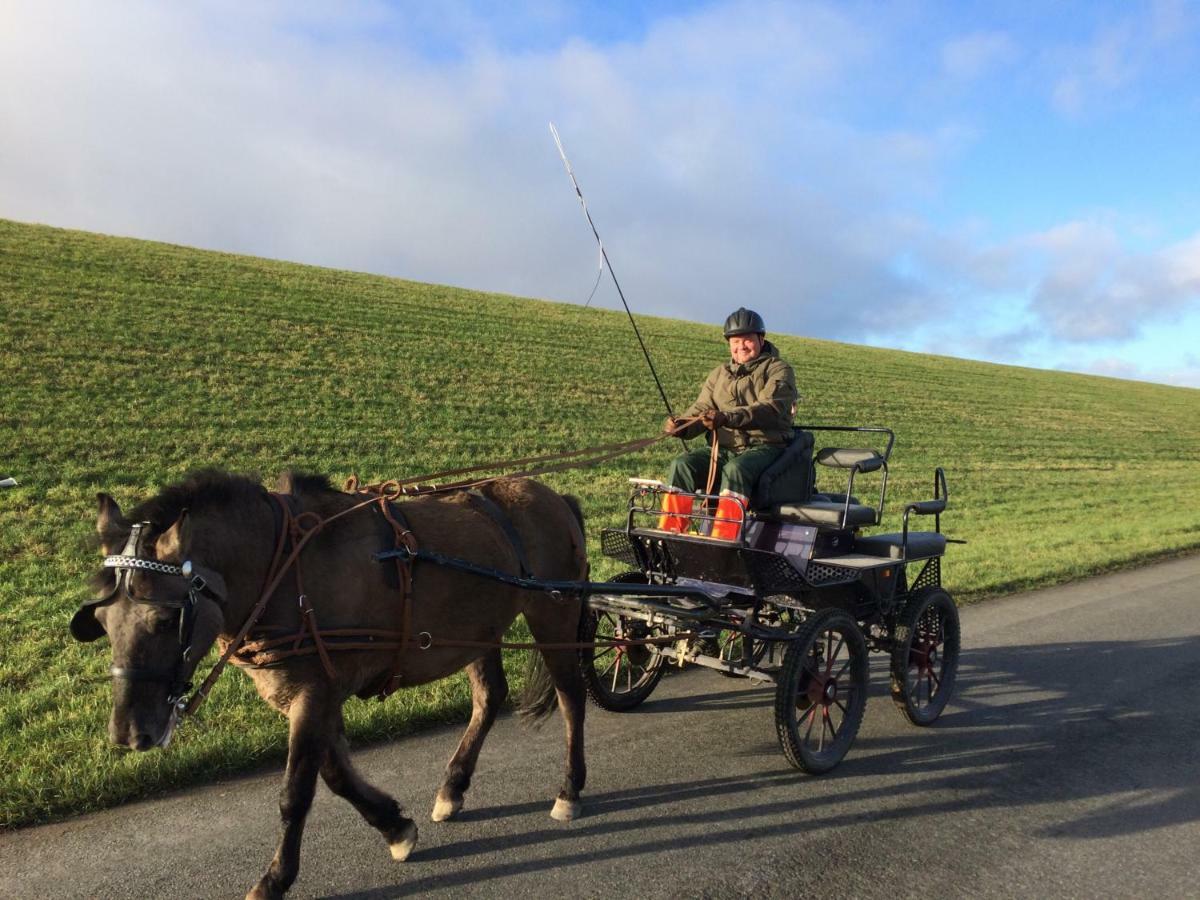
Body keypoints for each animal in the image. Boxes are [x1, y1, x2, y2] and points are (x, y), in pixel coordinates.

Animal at [70, 472, 590, 900]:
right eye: (103, 622)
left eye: (164, 619)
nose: (128, 734)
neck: (283, 571)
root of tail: (554, 496)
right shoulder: (313, 693)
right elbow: (336, 774)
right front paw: (394, 827)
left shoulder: (314, 693)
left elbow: (296, 792)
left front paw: (275, 879)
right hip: (477, 629)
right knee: (488, 697)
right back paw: (453, 786)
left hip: (554, 614)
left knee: (571, 698)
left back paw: (569, 789)